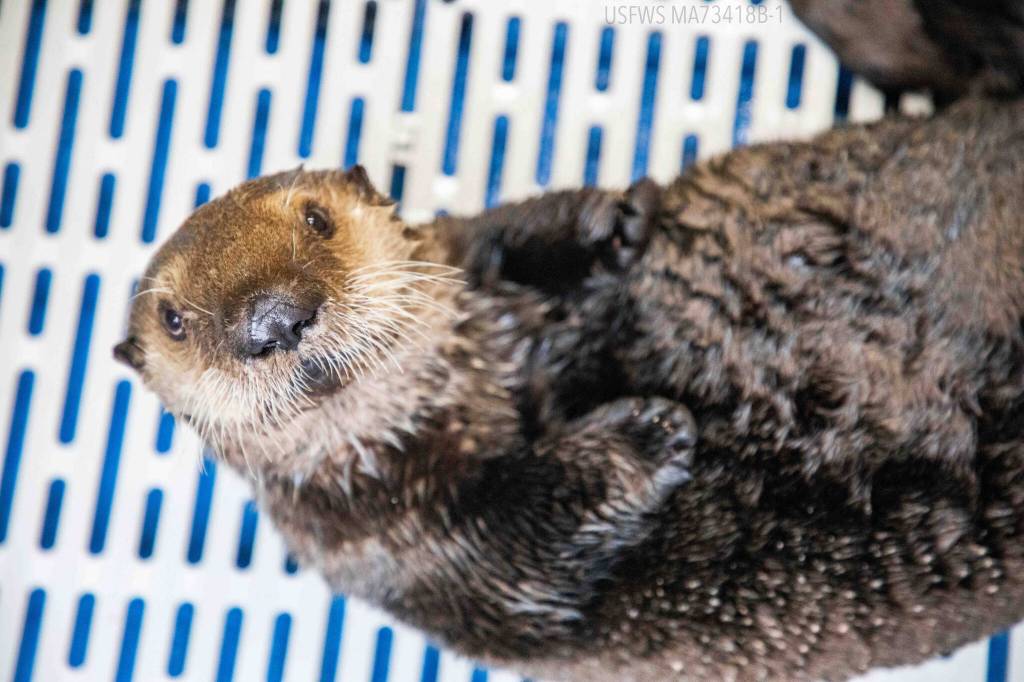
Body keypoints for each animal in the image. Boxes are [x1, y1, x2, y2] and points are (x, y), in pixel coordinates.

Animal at [115, 97, 1024, 681]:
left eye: (316, 219)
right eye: (174, 319)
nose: (273, 319)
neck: (481, 383)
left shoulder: (469, 263)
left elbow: (495, 239)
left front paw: (609, 220)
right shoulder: (392, 549)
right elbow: (520, 532)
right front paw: (651, 430)